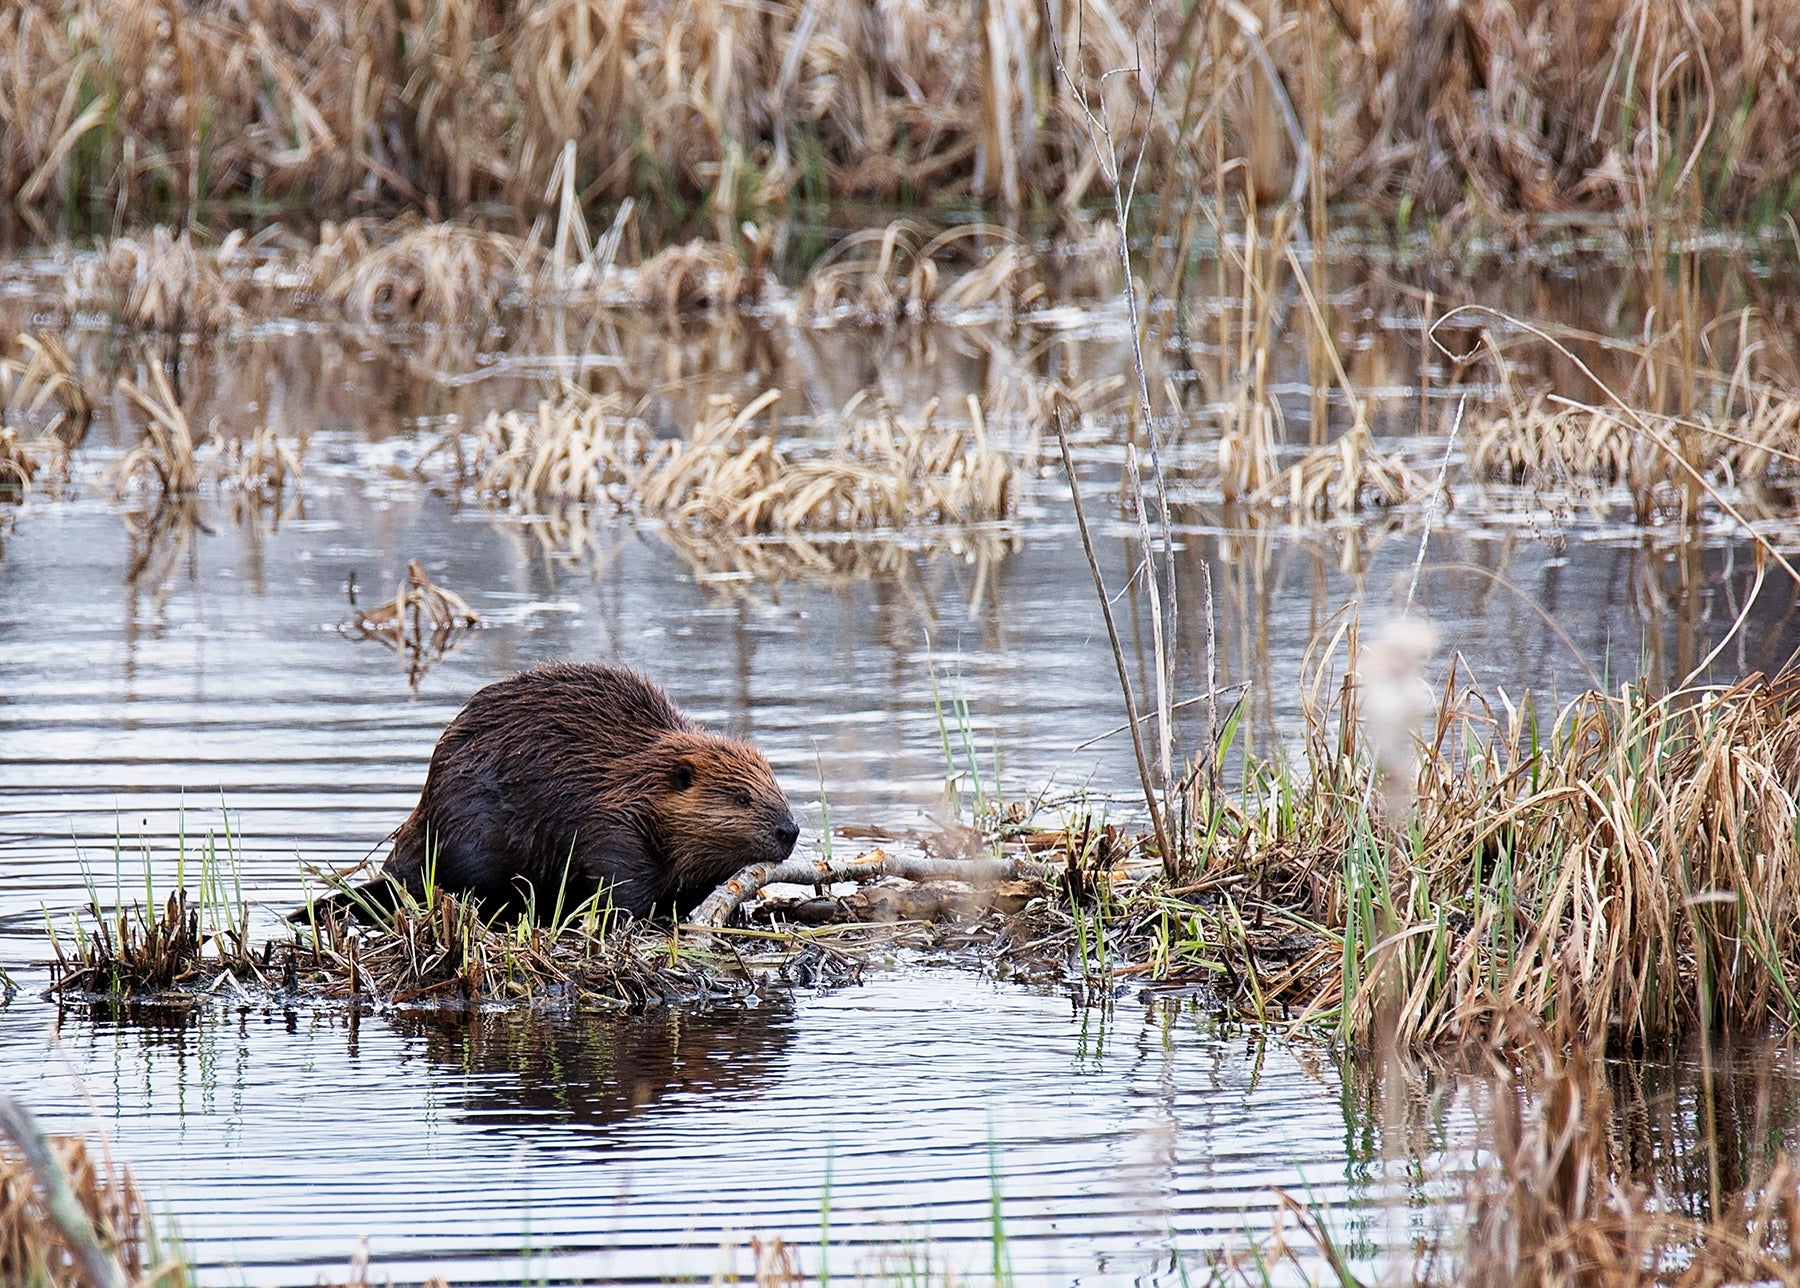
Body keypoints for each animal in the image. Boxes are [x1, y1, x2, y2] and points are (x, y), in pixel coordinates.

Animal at [306, 665, 799, 928]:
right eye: (740, 798)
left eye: (776, 789)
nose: (789, 830)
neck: (635, 781)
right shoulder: (612, 828)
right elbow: (620, 885)